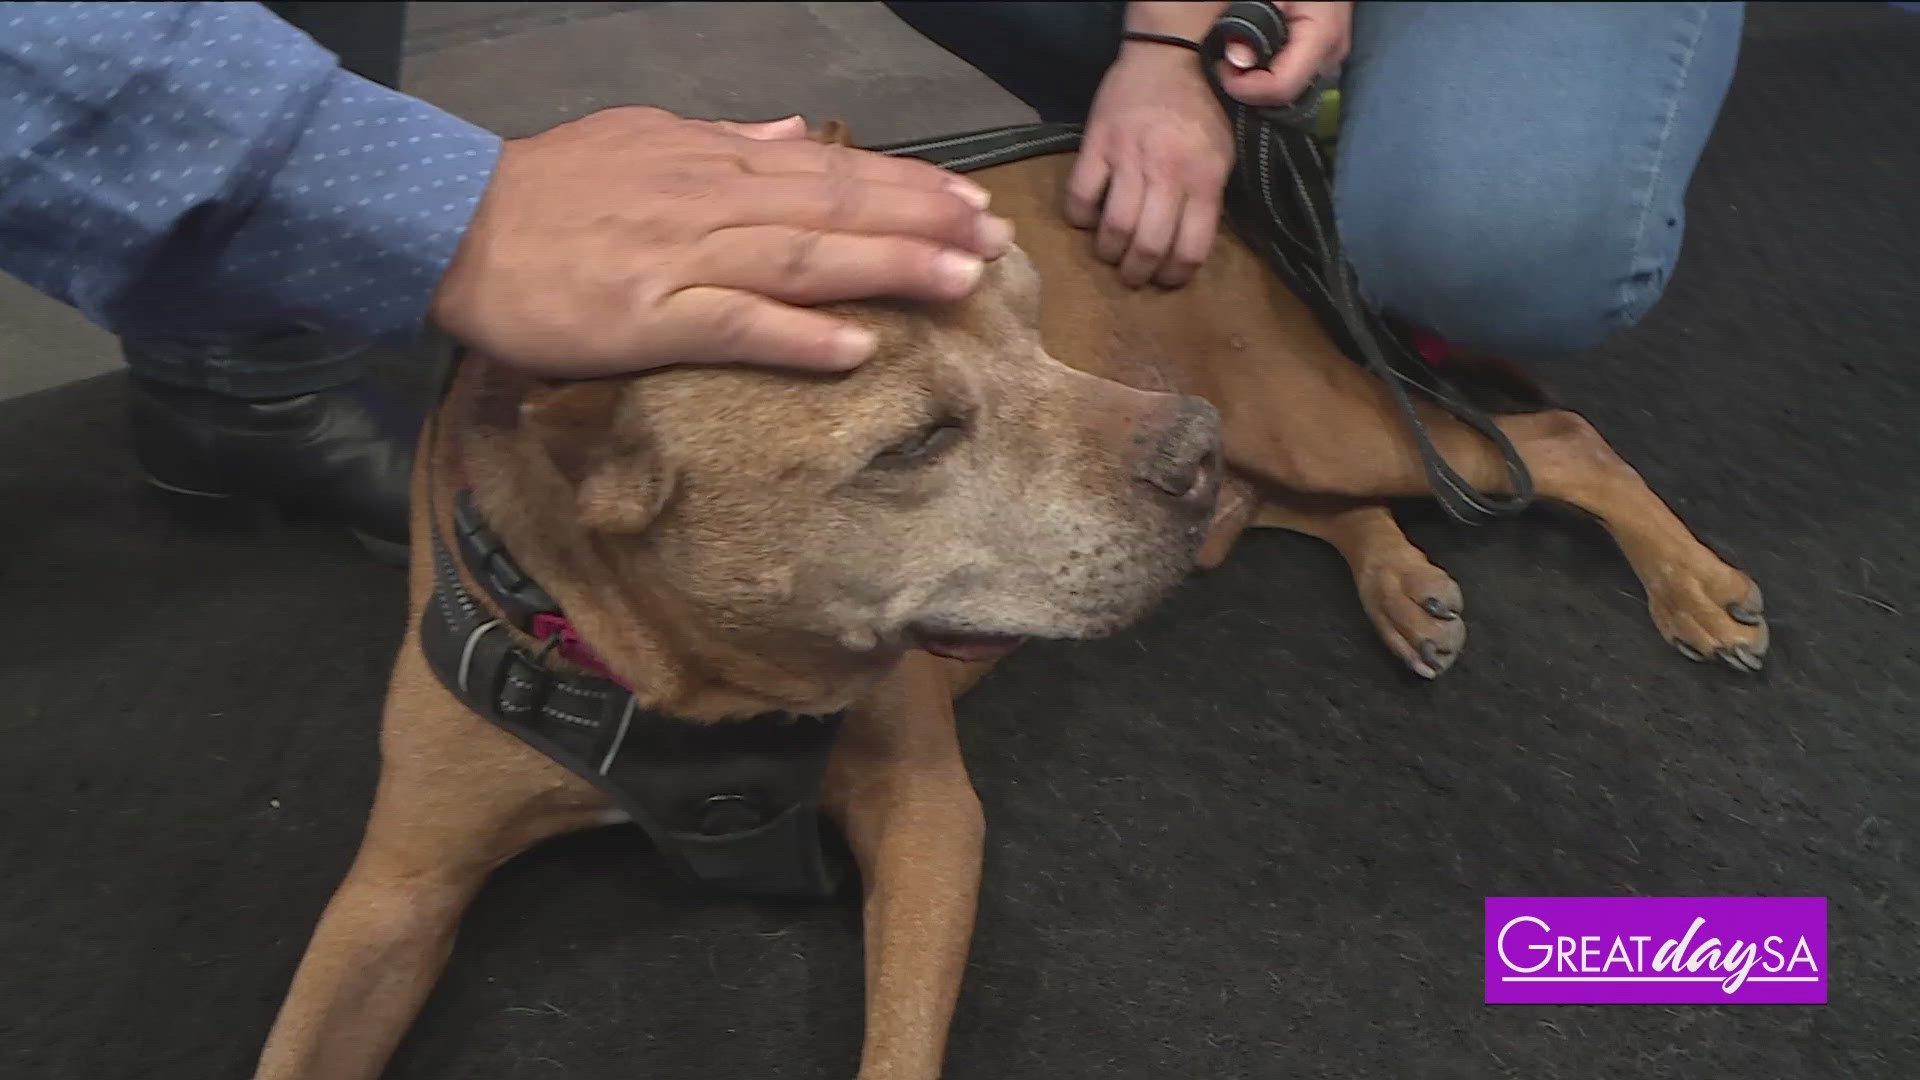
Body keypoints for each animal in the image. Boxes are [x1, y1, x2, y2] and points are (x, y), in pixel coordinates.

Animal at [259, 134, 1766, 1076]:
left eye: (1030, 326)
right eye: (914, 441)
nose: (1183, 444)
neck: (677, 682)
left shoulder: (927, 815)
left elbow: (898, 1039)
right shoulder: (395, 896)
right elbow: (300, 1038)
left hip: (1312, 412)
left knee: (1552, 439)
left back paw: (1691, 584)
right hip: (1274, 449)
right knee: (1313, 504)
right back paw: (1401, 584)